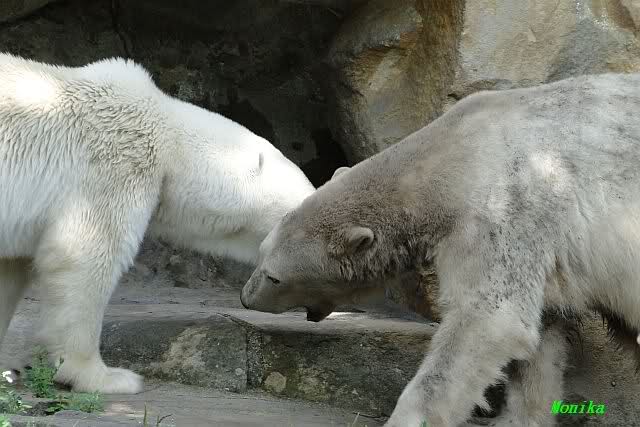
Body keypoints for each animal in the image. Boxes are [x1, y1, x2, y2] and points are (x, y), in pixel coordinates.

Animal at [241, 72, 640, 426]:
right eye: (261, 251)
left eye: (274, 278)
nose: (246, 297)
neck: (457, 154)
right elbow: (541, 335)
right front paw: (518, 418)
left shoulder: (503, 211)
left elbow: (489, 318)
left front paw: (406, 418)